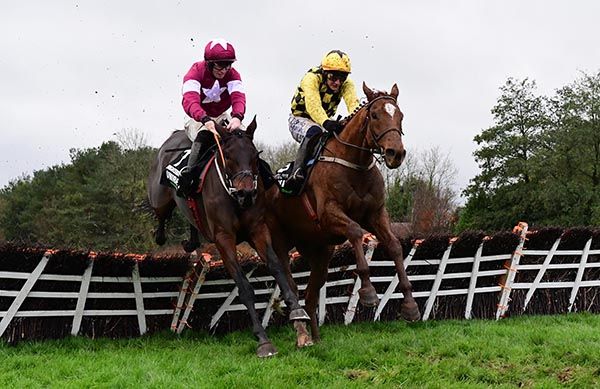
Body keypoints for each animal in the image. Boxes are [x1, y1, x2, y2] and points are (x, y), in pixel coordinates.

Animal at [147, 117, 310, 354]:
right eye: (229, 157)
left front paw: (298, 312)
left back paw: (191, 241)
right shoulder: (224, 239)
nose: (246, 193)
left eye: (255, 156)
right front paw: (263, 340)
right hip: (160, 199)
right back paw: (161, 235)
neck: (234, 198)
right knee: (160, 216)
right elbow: (243, 286)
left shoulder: (257, 229)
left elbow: (277, 268)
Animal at [268, 83, 422, 342]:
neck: (354, 164)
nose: (395, 153)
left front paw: (410, 306)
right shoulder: (329, 215)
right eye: (374, 115)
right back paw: (302, 335)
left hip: (319, 250)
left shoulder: (376, 214)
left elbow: (393, 245)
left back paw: (316, 339)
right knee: (291, 287)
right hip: (279, 241)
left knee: (311, 294)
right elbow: (355, 231)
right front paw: (368, 292)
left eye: (400, 115)